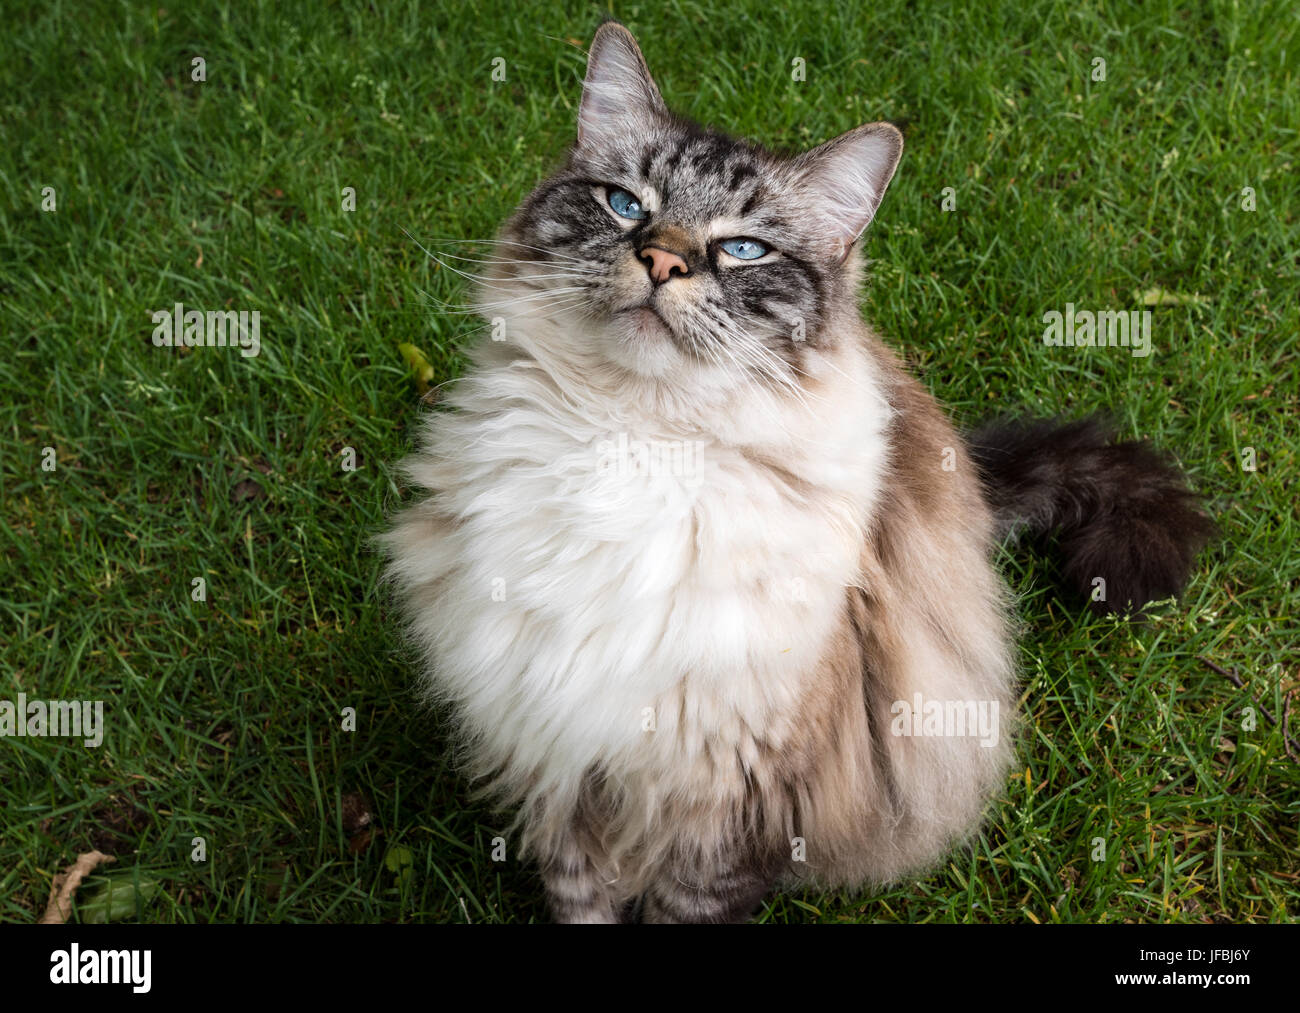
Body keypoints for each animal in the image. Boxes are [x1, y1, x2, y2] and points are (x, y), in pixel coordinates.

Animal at [379, 21, 1211, 925]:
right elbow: (583, 902)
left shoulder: (733, 799)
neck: (634, 440)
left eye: (744, 249)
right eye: (626, 205)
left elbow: (687, 905)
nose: (660, 260)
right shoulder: (560, 760)